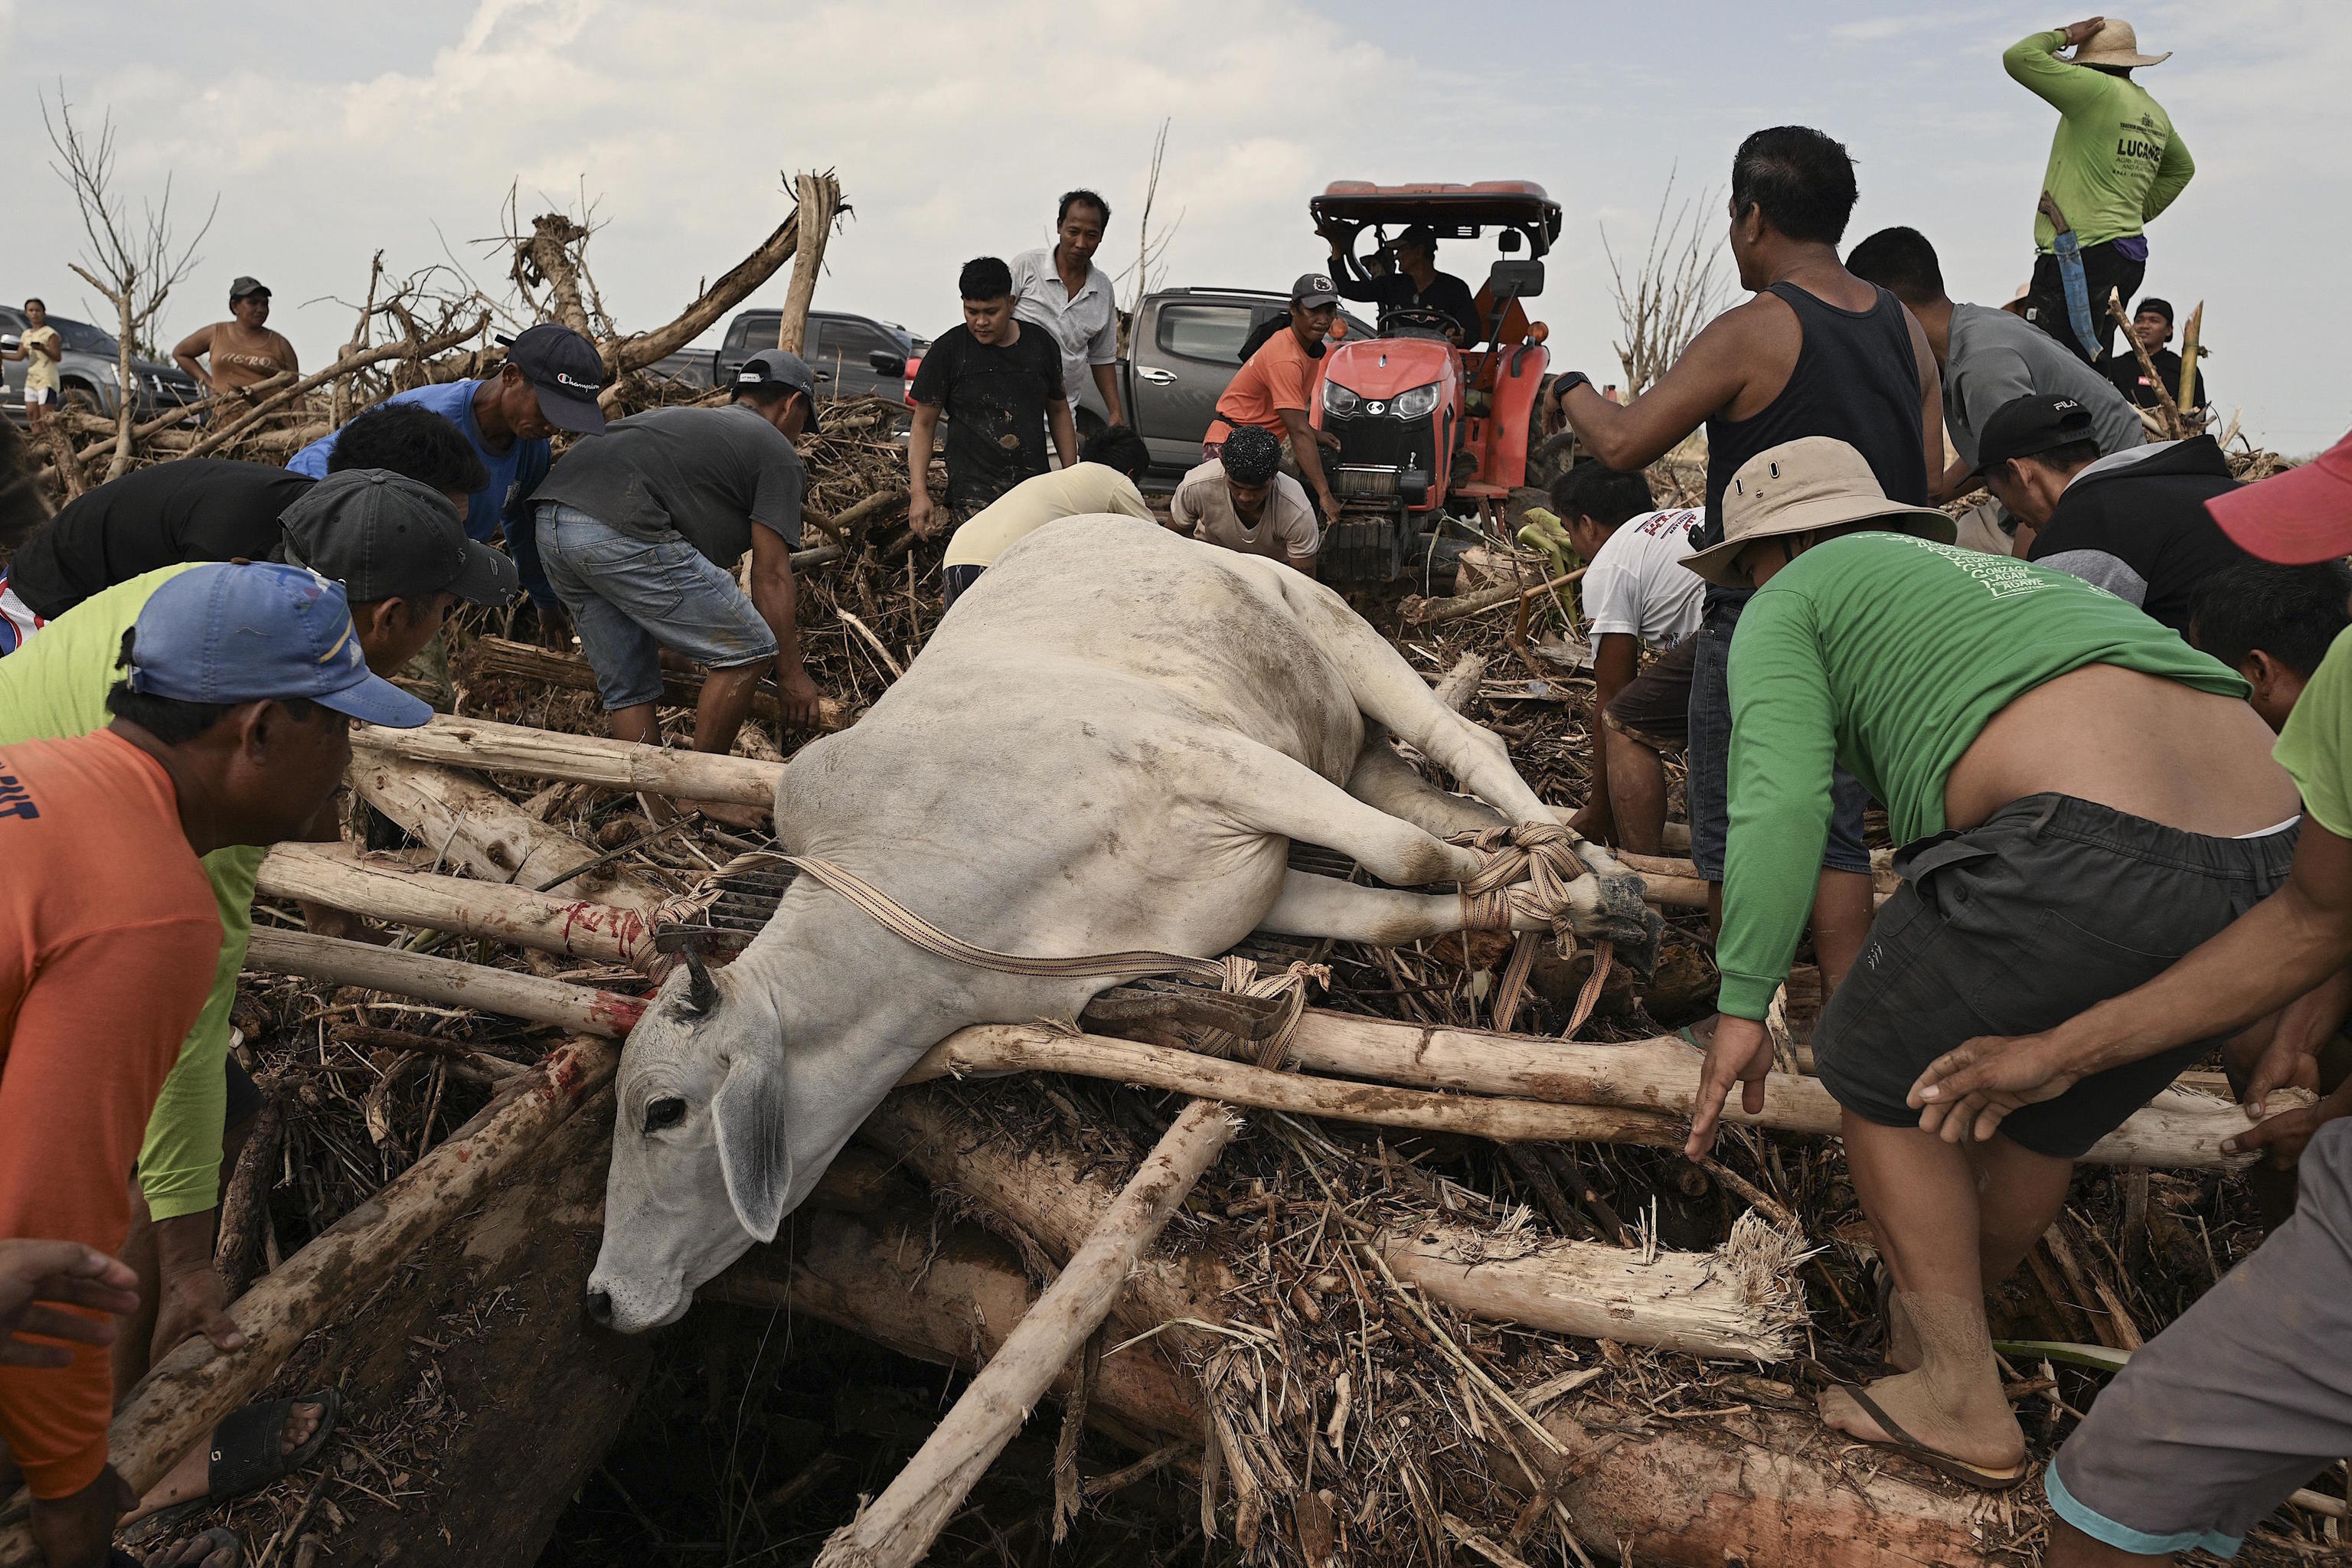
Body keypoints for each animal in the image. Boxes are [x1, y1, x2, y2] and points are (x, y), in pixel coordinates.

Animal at [588, 521, 1655, 1335]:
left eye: (662, 1109)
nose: (601, 1297)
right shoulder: (1252, 887)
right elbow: (1402, 895)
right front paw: (1536, 903)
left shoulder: (1213, 757)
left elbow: (1410, 861)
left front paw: (1557, 897)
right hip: (1347, 749)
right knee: (1443, 804)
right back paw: (1583, 876)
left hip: (1337, 629)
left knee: (1470, 748)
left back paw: (1603, 872)